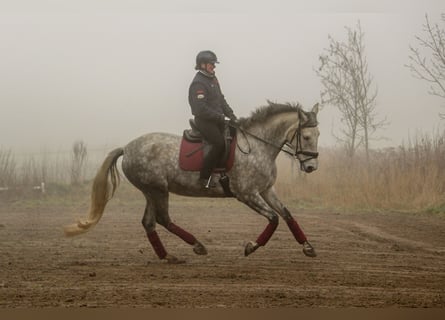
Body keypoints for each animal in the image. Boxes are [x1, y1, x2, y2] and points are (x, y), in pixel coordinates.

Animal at [63, 102, 320, 262]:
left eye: (318, 135)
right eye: (306, 136)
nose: (311, 167)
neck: (257, 146)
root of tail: (127, 148)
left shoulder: (266, 190)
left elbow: (286, 214)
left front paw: (308, 247)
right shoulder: (246, 193)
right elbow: (274, 219)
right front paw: (250, 247)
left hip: (151, 191)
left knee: (149, 222)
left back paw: (168, 256)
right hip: (157, 189)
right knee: (162, 219)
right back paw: (197, 245)